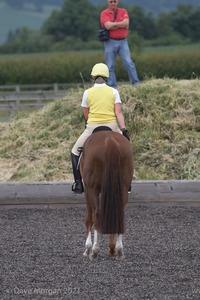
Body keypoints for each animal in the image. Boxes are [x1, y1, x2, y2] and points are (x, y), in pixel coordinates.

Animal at [79, 127, 133, 258]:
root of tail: (109, 140)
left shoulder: (88, 189)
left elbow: (89, 217)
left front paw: (87, 248)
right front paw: (111, 248)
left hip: (93, 189)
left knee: (96, 214)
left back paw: (94, 250)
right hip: (122, 187)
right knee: (118, 212)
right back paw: (119, 250)